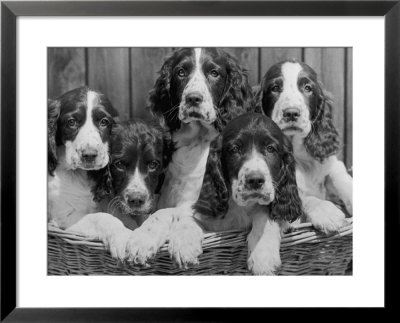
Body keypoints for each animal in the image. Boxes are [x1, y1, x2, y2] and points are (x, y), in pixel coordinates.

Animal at [124, 47, 253, 266]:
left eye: (214, 73)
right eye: (181, 72)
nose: (193, 98)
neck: (197, 142)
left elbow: (172, 213)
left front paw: (178, 242)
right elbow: (162, 213)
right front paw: (142, 240)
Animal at [255, 60, 352, 233]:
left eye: (307, 88)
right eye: (275, 88)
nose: (291, 113)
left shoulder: (331, 163)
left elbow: (342, 178)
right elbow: (303, 197)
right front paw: (326, 212)